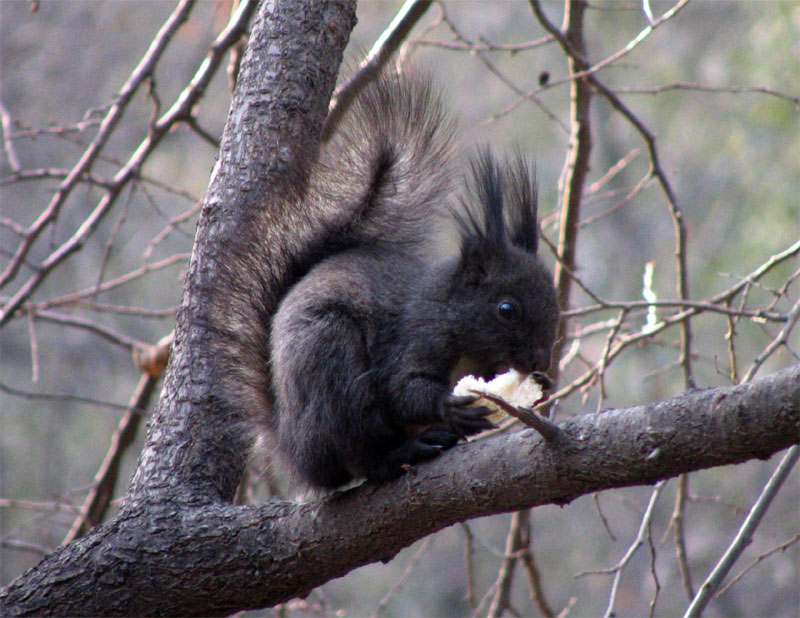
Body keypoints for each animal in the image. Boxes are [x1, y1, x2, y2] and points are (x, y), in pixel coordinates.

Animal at [258, 71, 564, 486]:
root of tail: (293, 451)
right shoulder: (414, 335)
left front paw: (541, 386)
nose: (541, 360)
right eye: (506, 309)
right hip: (330, 363)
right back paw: (403, 451)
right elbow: (402, 389)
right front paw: (447, 405)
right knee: (361, 454)